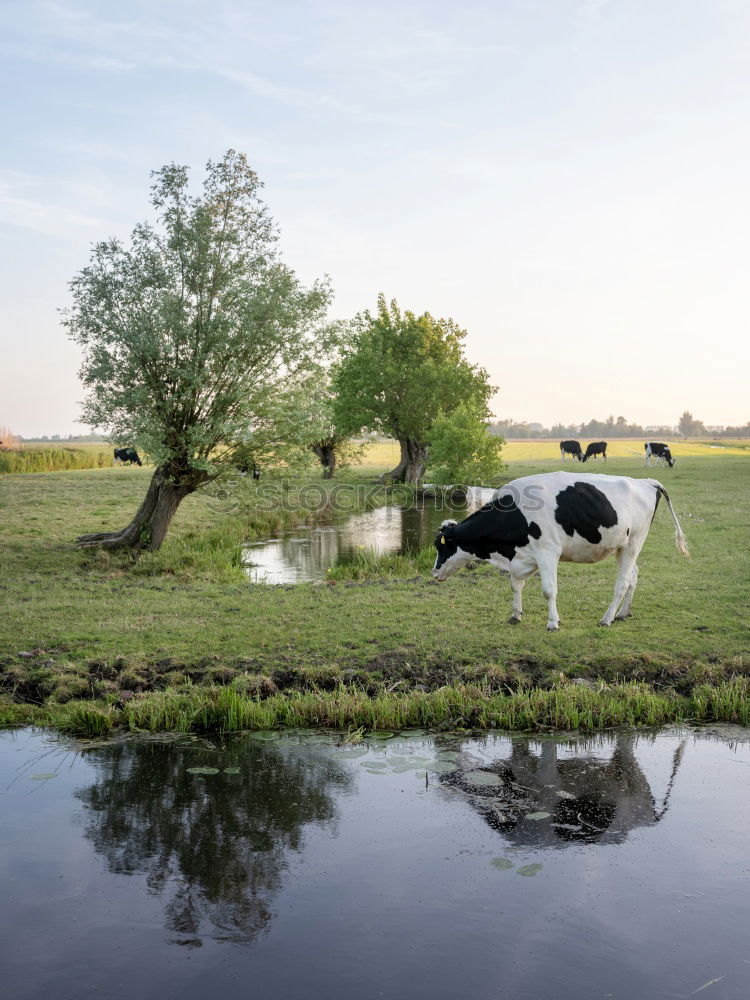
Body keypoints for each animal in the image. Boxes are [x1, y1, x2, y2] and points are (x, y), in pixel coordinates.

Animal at [432, 472, 692, 628]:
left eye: (440, 546)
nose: (434, 573)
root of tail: (647, 481)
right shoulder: (522, 557)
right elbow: (515, 585)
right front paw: (515, 614)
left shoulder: (547, 553)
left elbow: (549, 591)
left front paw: (553, 623)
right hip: (622, 546)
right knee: (634, 576)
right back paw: (623, 613)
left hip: (633, 543)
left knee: (622, 582)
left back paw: (607, 618)